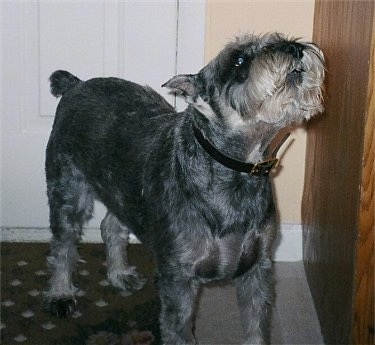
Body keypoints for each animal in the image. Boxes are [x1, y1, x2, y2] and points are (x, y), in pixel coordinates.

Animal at [44, 33, 326, 344]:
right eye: (239, 60)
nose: (295, 48)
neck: (236, 171)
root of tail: (76, 85)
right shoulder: (179, 280)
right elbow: (179, 331)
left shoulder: (257, 269)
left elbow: (256, 328)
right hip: (68, 192)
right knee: (64, 244)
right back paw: (61, 293)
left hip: (121, 189)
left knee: (111, 226)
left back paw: (120, 274)